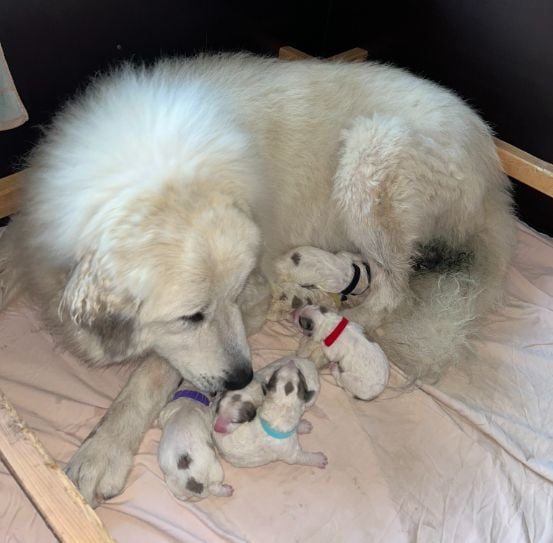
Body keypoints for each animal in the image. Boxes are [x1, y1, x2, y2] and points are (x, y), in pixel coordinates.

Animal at [0, 53, 516, 504]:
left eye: (231, 297)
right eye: (191, 316)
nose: (242, 377)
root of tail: (493, 169)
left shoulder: (252, 295)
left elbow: (151, 373)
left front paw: (102, 450)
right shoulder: (33, 233)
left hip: (371, 157)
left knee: (393, 289)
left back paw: (324, 340)